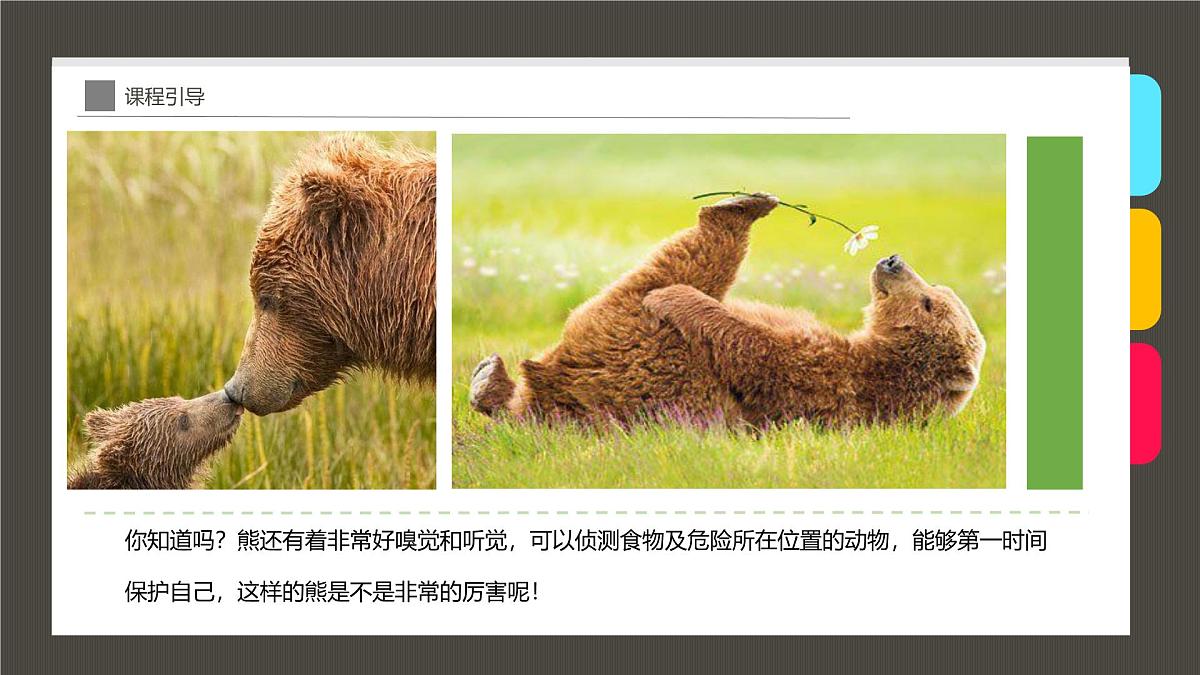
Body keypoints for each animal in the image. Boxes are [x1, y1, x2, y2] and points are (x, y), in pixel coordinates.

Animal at [469, 192, 986, 427]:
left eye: (929, 301)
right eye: (937, 288)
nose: (893, 260)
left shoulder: (834, 380)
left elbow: (758, 348)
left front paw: (676, 298)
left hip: (634, 350)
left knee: (682, 265)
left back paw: (733, 209)